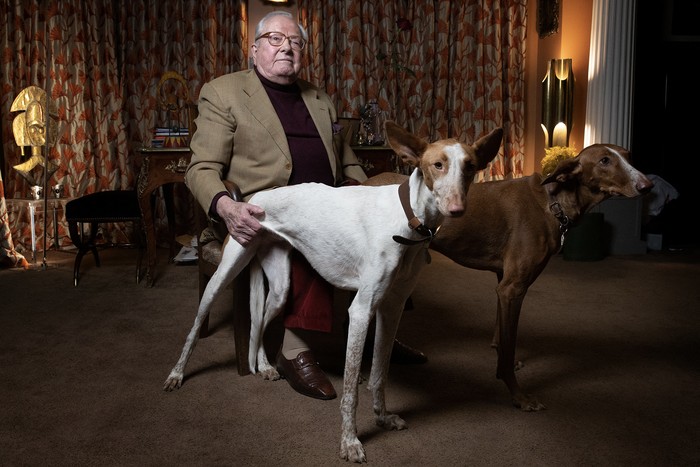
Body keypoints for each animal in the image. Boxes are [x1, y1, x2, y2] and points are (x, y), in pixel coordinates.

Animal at [164, 121, 504, 464]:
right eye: (438, 165)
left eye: (470, 167)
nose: (457, 208)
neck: (408, 220)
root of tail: (255, 196)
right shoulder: (362, 310)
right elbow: (351, 388)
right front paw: (350, 441)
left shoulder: (391, 308)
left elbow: (379, 372)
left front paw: (383, 417)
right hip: (222, 275)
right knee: (196, 327)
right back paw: (177, 374)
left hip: (280, 288)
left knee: (258, 323)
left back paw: (264, 366)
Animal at [370, 144, 652, 414]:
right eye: (605, 160)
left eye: (628, 155)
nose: (647, 185)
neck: (552, 201)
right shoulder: (513, 288)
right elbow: (508, 348)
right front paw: (519, 396)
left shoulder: (502, 282)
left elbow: (501, 338)